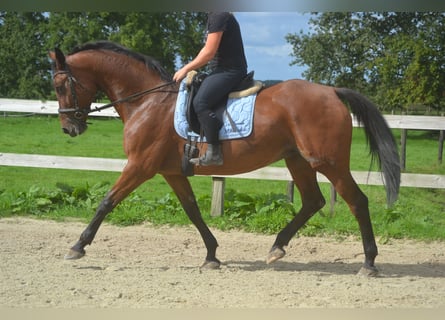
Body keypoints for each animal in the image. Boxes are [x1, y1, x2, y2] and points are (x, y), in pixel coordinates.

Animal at [48, 40, 398, 276]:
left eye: (61, 84)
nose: (68, 128)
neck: (148, 102)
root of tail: (332, 91)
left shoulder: (140, 166)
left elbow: (107, 201)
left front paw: (77, 247)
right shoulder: (172, 172)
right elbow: (192, 210)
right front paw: (212, 255)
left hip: (327, 162)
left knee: (357, 201)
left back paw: (369, 262)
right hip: (297, 160)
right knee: (313, 201)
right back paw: (276, 247)